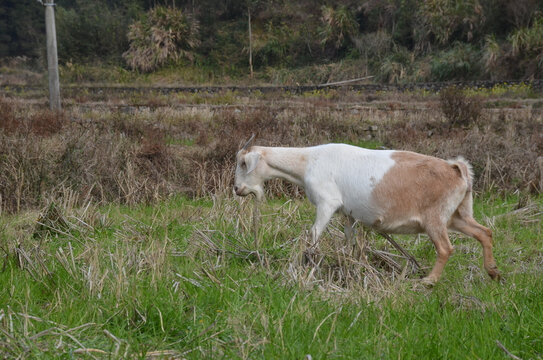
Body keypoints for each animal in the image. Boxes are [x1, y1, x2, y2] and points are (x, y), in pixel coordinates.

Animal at [234, 136, 502, 286]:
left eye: (243, 163)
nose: (237, 189)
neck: (308, 161)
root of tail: (457, 169)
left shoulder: (327, 203)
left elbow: (313, 235)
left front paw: (304, 264)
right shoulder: (347, 214)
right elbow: (349, 242)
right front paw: (349, 266)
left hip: (435, 218)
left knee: (446, 248)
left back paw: (429, 281)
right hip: (458, 215)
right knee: (484, 232)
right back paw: (493, 272)